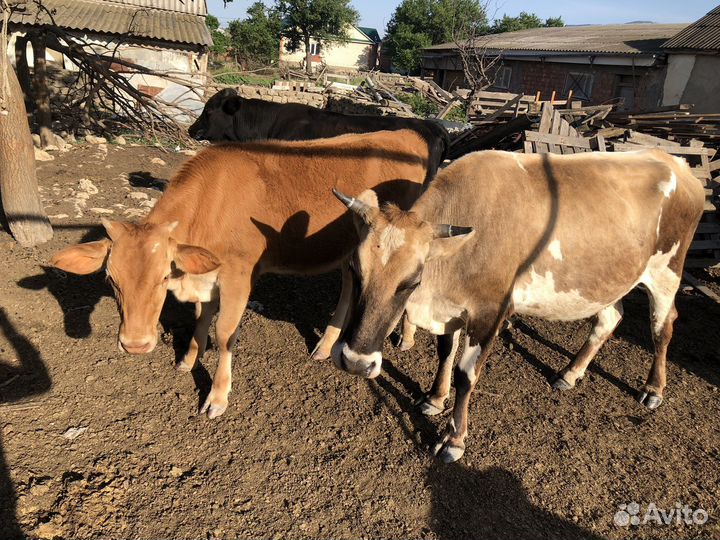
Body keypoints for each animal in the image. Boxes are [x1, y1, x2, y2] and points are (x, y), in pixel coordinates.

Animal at [50, 129, 431, 418]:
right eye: (111, 280)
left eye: (162, 277)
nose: (135, 344)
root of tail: (407, 133)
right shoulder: (207, 275)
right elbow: (202, 319)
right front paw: (188, 359)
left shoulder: (239, 275)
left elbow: (224, 333)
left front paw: (217, 397)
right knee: (352, 283)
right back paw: (329, 345)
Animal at [331, 149, 705, 463]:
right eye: (355, 270)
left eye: (410, 282)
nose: (355, 362)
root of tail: (675, 162)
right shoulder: (451, 309)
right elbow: (444, 353)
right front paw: (435, 398)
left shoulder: (490, 311)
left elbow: (466, 374)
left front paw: (454, 439)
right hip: (609, 279)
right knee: (610, 318)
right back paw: (569, 373)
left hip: (666, 271)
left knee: (662, 326)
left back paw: (653, 389)